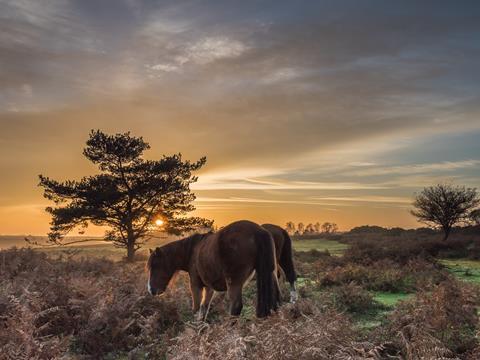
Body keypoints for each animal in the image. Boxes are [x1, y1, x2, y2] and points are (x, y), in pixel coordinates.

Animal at [148, 219, 280, 318]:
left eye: (155, 266)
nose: (151, 290)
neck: (192, 251)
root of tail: (258, 231)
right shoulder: (209, 287)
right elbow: (204, 308)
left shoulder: (196, 285)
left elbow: (196, 309)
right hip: (271, 274)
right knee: (276, 299)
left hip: (234, 283)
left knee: (236, 307)